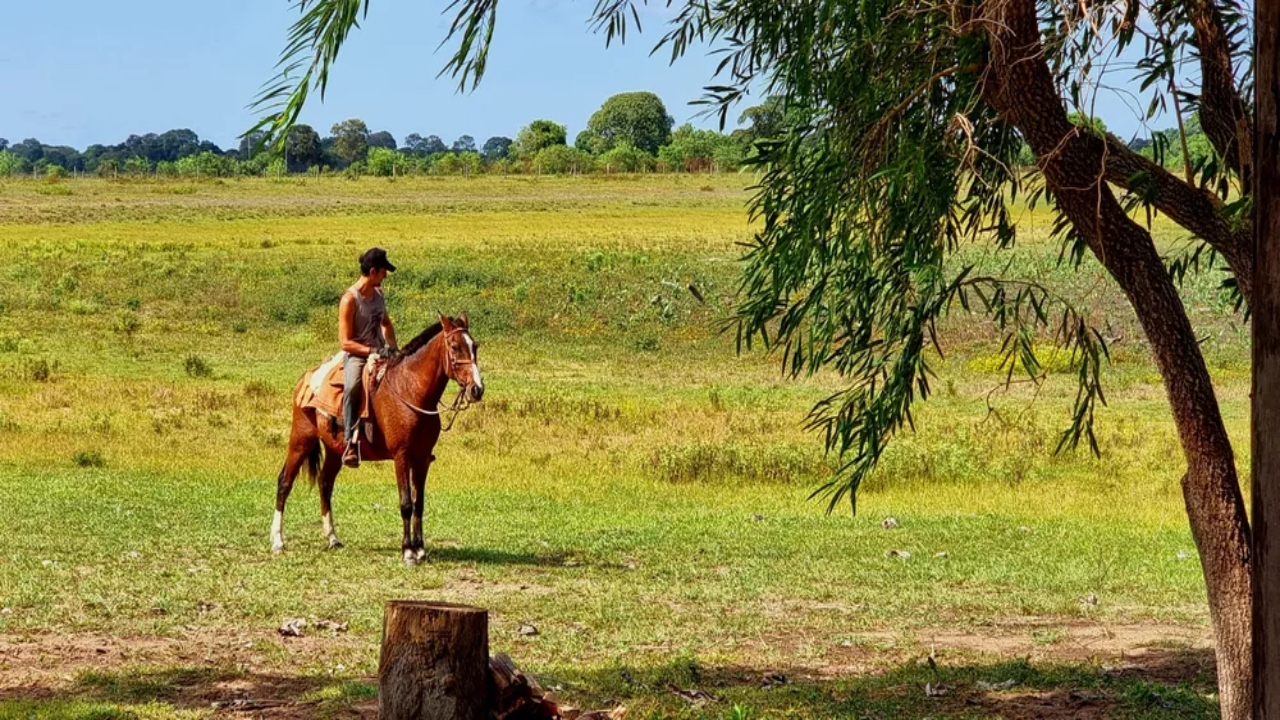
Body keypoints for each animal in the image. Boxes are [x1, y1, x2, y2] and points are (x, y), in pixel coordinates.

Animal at [271, 311, 483, 563]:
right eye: (454, 346)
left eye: (475, 346)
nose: (477, 389)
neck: (410, 391)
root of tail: (306, 379)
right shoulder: (401, 456)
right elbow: (406, 504)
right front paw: (408, 551)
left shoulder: (422, 459)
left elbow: (419, 503)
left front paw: (420, 549)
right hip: (300, 440)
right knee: (285, 482)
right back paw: (277, 541)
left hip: (334, 450)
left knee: (325, 483)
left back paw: (332, 538)